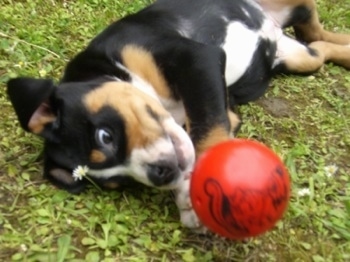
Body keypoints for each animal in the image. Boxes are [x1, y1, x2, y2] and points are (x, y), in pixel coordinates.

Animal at [6, 0, 348, 229]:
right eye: (120, 182)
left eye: (104, 136)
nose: (160, 174)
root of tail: (272, 26)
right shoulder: (225, 108)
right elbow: (204, 130)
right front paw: (186, 196)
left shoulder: (194, 57)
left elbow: (208, 130)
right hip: (300, 58)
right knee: (318, 43)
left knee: (313, 24)